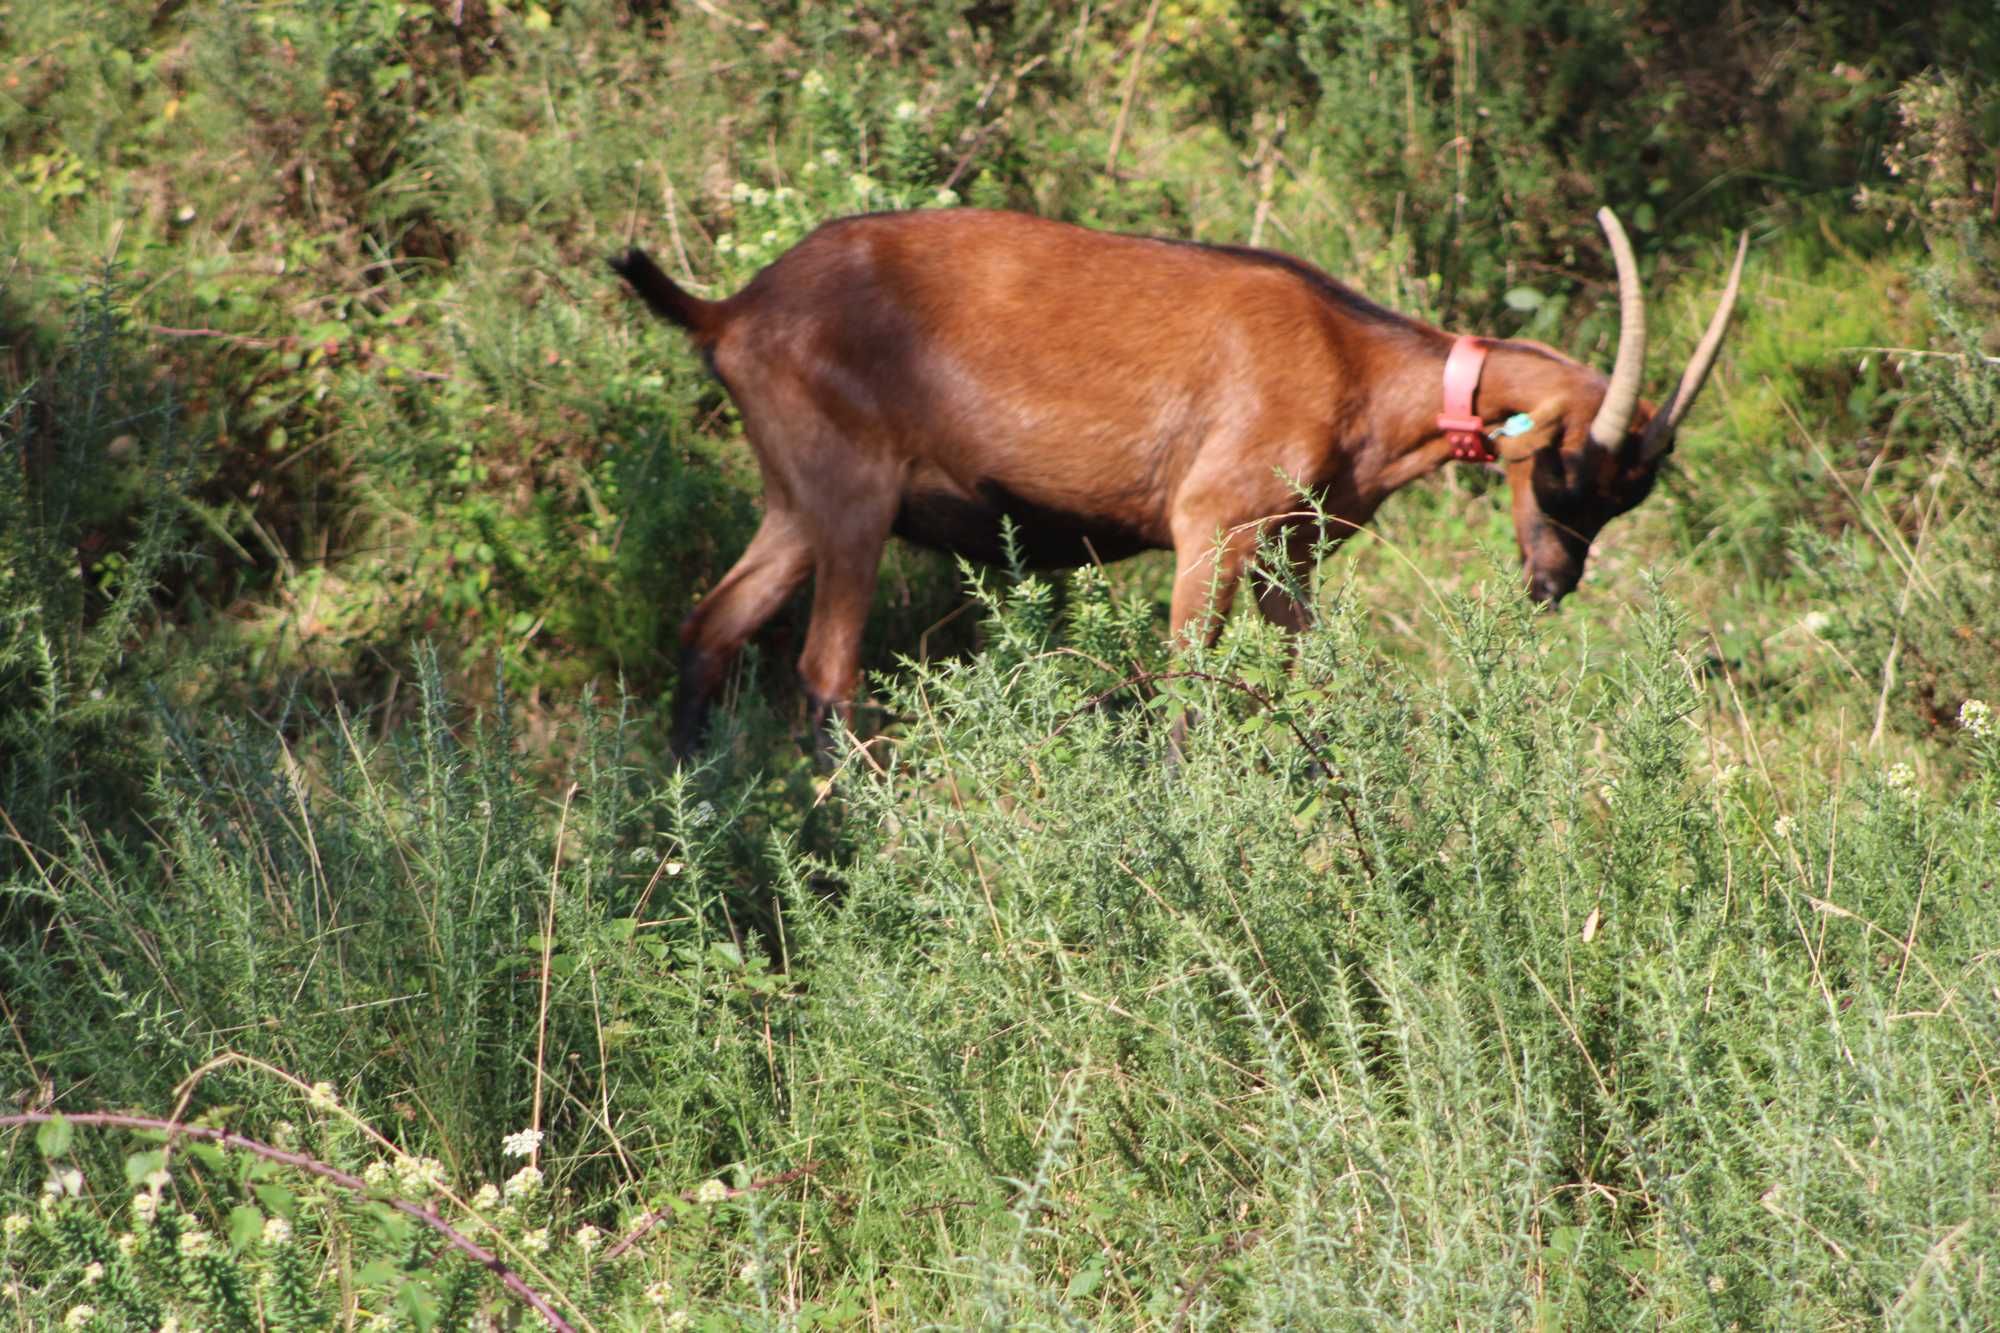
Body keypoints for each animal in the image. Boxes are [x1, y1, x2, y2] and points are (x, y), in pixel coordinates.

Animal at [612, 208, 1752, 748]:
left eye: (1627, 495)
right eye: (1564, 473)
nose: (1551, 583)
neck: (1355, 365)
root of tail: (732, 309)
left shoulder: (1294, 554)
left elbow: (1294, 684)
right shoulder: (1216, 524)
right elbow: (1190, 688)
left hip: (793, 502)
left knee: (709, 626)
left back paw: (694, 814)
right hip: (849, 494)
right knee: (824, 675)